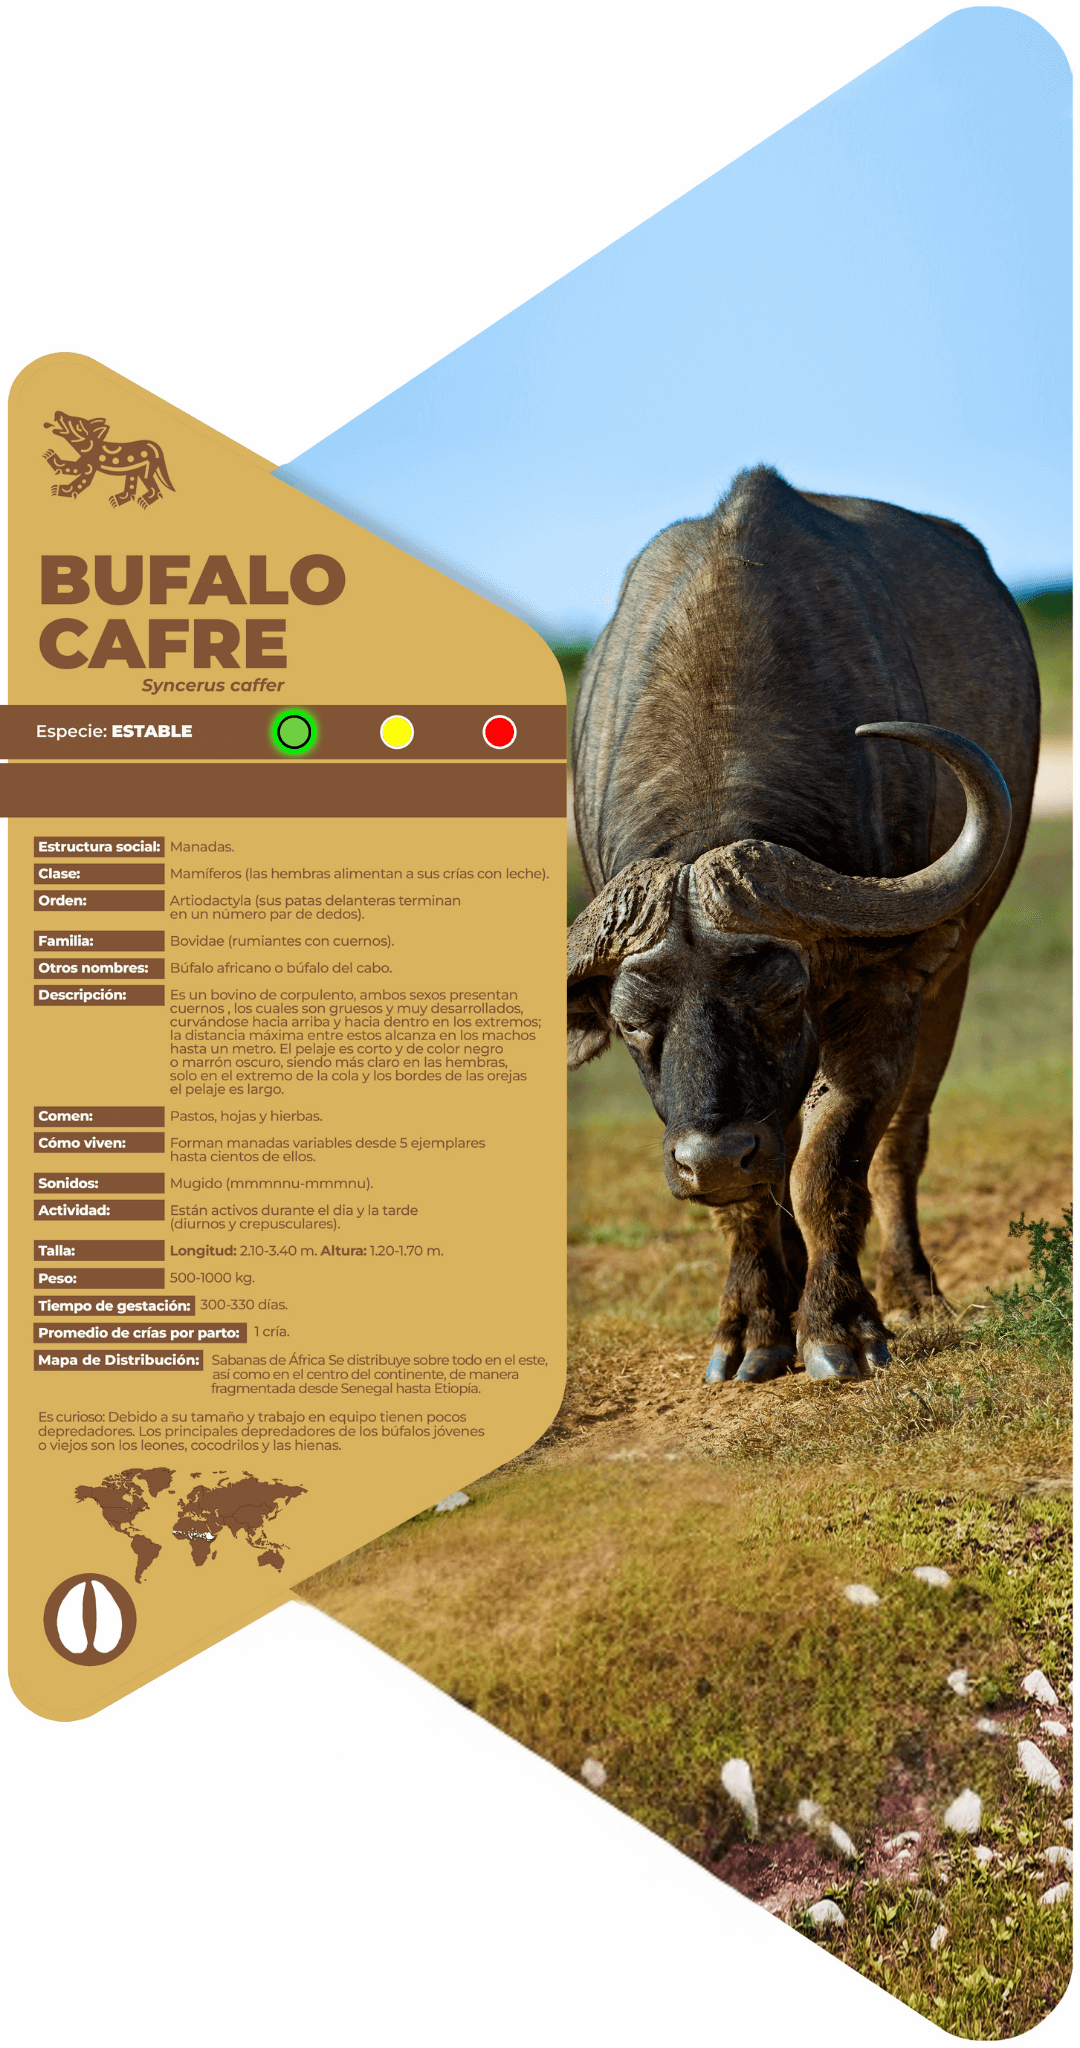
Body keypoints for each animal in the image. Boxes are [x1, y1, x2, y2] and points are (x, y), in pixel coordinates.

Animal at [568, 467, 1039, 1384]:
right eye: (634, 1023)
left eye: (784, 997)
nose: (712, 1156)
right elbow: (752, 1195)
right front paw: (753, 1327)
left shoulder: (882, 995)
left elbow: (830, 1166)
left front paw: (840, 1327)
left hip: (951, 978)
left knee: (898, 1140)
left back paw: (911, 1288)